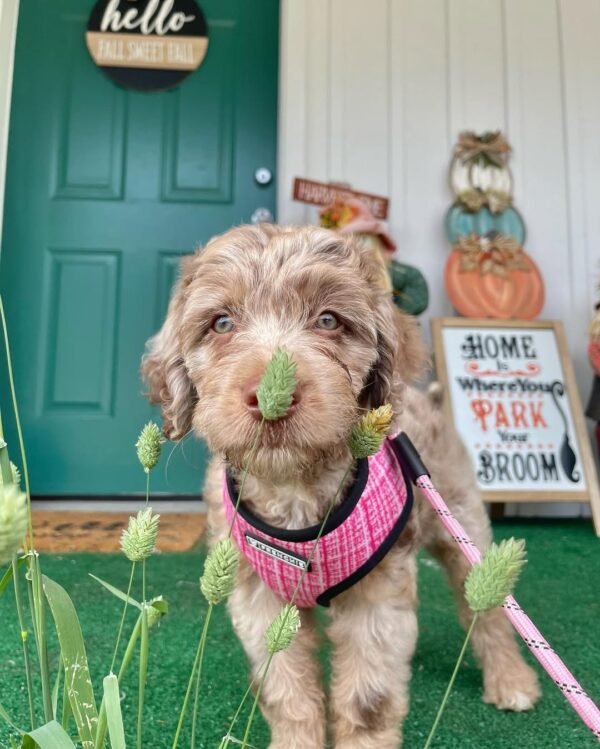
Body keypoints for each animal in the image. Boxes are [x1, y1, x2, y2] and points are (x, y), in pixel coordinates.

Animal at [143, 226, 540, 748]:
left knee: (488, 606)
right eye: (221, 323)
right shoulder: (258, 595)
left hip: (461, 522)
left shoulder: (376, 596)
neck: (295, 487)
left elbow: (370, 697)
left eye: (329, 320)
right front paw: (295, 739)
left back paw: (511, 680)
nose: (273, 398)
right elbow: (284, 685)